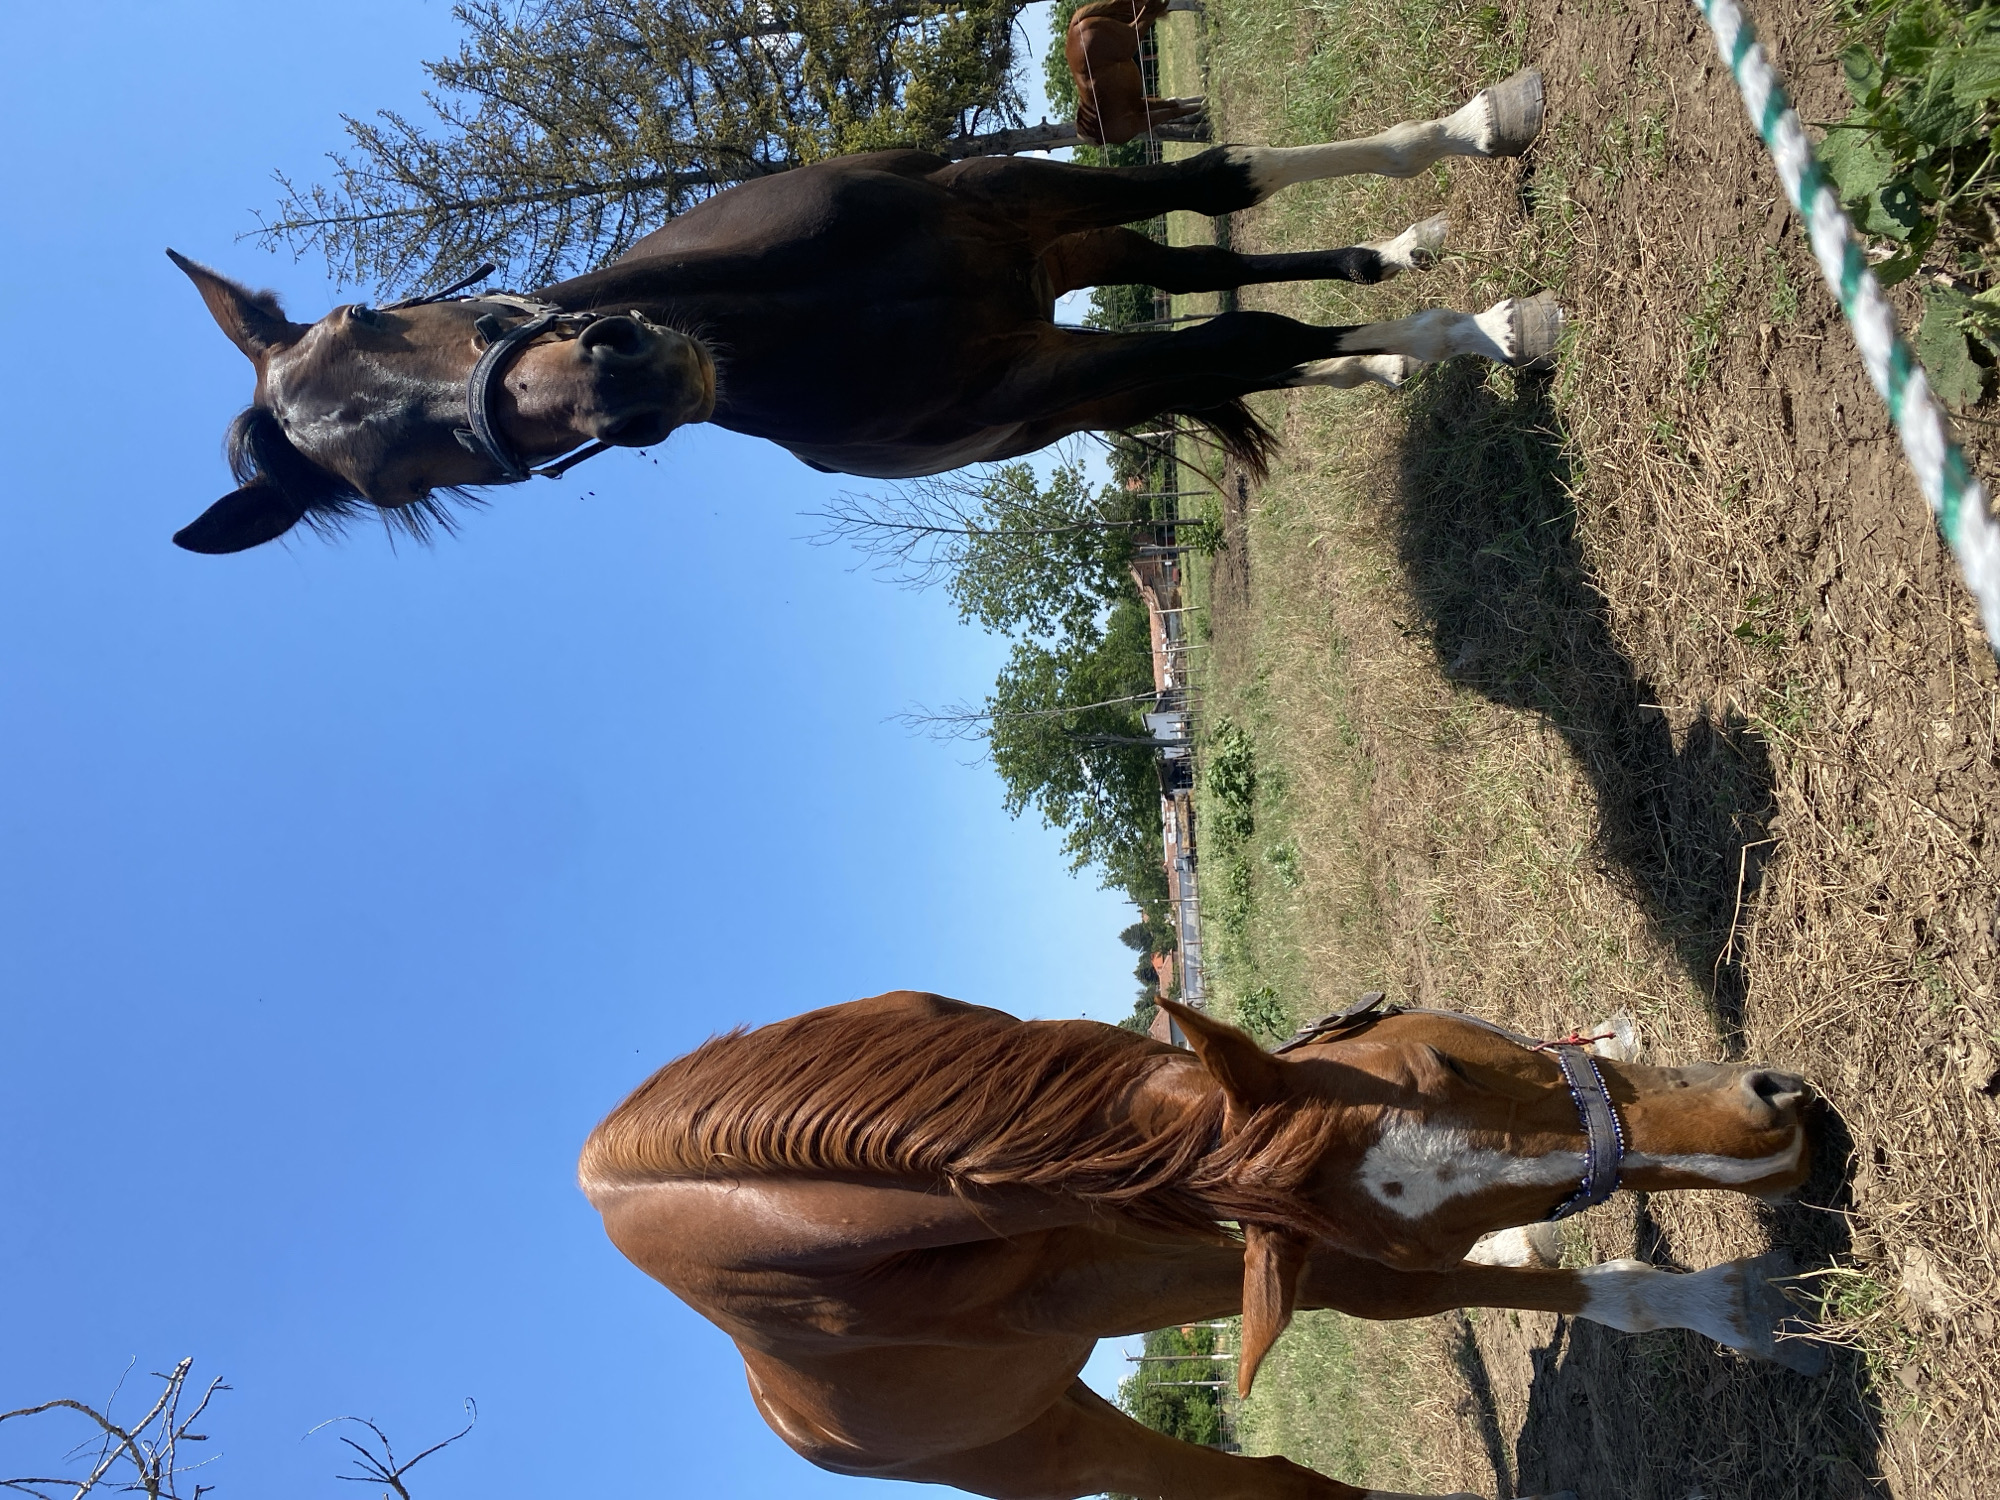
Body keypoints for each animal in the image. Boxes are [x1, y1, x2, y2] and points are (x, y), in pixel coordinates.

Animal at [168, 70, 1552, 554]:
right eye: (410, 478)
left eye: (369, 312)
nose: (628, 377)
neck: (822, 311)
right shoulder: (1049, 380)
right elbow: (1241, 343)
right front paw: (1483, 329)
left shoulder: (1005, 196)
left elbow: (1221, 185)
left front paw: (1477, 132)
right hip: (1059, 335)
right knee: (1215, 325)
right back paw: (1389, 337)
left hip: (1054, 249)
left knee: (1207, 269)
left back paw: (1401, 248)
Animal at [580, 990, 1823, 1500]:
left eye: (1450, 1062)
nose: (1770, 1143)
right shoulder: (1272, 1261)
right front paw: (1728, 1306)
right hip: (1063, 1456)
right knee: (1272, 1486)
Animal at [1065, 0, 1206, 147]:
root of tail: (1074, 30)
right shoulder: (1139, 110)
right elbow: (1175, 106)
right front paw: (1204, 102)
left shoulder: (1139, 115)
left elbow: (1175, 108)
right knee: (1146, 14)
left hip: (1131, 37)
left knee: (1145, 16)